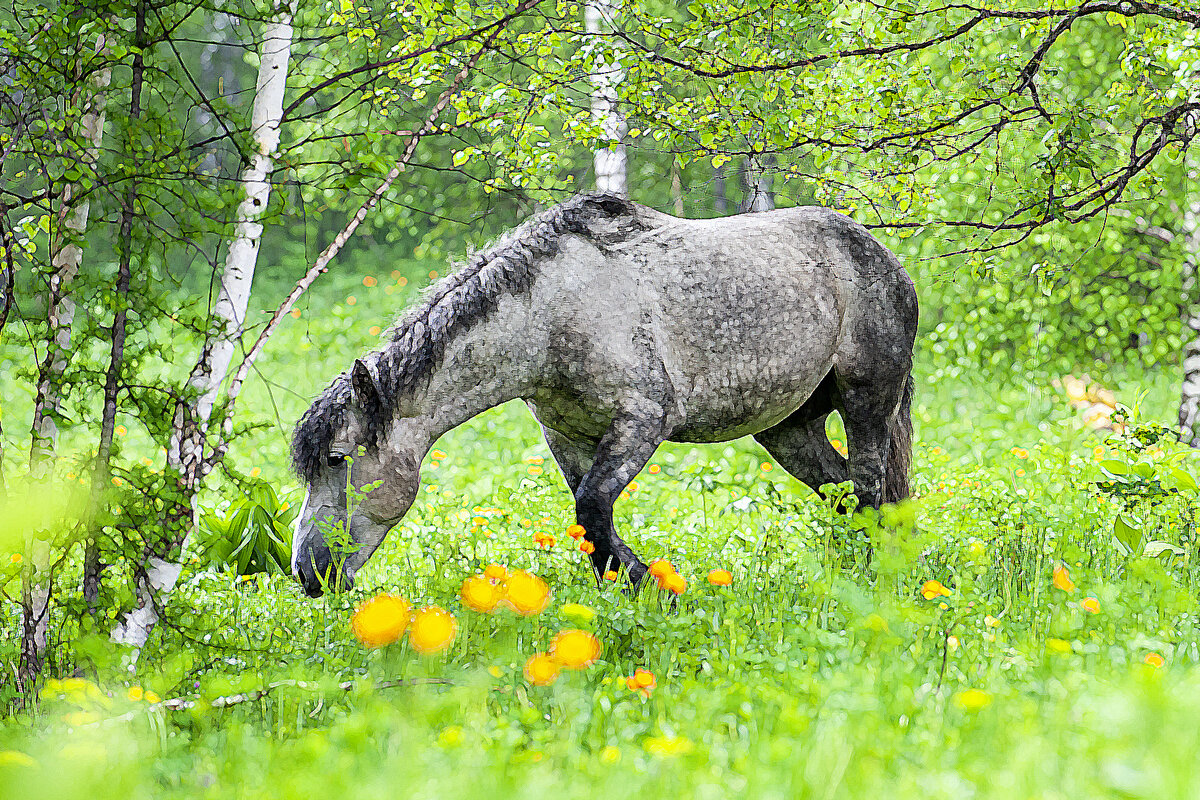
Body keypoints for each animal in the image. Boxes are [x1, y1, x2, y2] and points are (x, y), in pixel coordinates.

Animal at [290, 191, 916, 594]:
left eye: (339, 459)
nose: (307, 572)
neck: (546, 315)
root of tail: (880, 254)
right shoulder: (566, 435)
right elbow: (591, 522)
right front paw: (627, 589)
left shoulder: (643, 421)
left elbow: (592, 508)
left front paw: (650, 588)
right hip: (789, 428)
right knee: (843, 491)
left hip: (867, 399)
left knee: (871, 486)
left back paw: (879, 578)